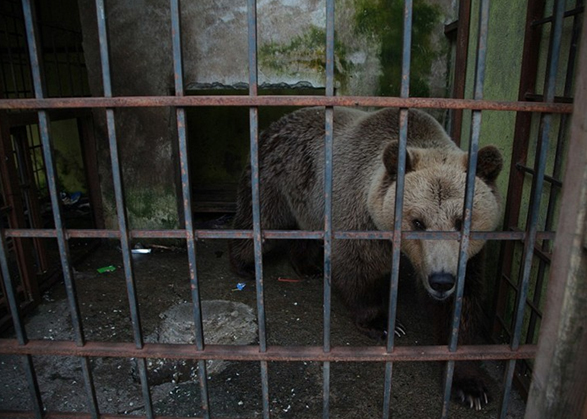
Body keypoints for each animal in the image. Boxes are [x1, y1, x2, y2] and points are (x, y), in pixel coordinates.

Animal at [227, 106, 504, 412]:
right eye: (417, 221)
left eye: (461, 221)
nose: (441, 281)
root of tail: (277, 121)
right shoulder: (361, 216)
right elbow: (357, 266)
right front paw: (383, 323)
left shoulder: (466, 258)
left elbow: (461, 307)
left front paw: (470, 386)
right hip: (275, 175)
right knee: (260, 218)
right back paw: (245, 264)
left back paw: (308, 266)